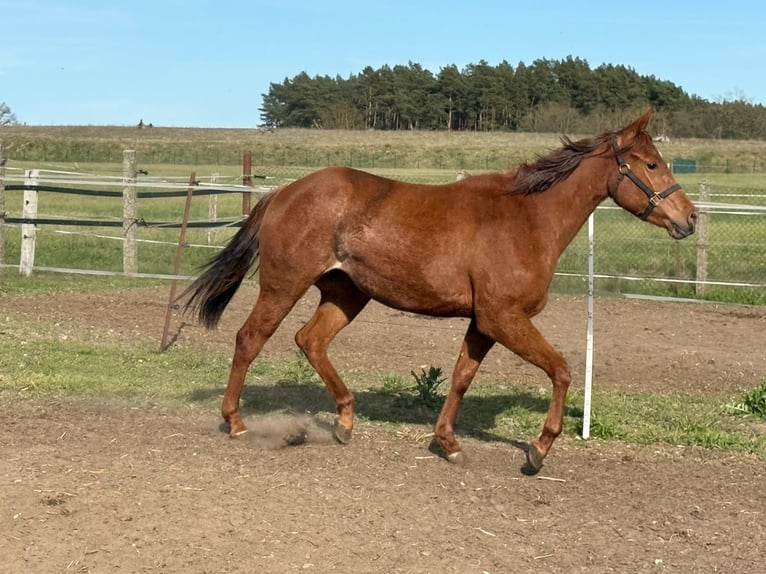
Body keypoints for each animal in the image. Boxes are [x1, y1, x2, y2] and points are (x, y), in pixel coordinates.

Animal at [183, 109, 697, 473]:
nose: (689, 218)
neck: (526, 219)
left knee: (310, 341)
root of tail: (282, 193)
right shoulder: (503, 317)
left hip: (347, 293)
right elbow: (562, 370)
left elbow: (461, 377)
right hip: (283, 285)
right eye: (651, 163)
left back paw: (345, 421)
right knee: (250, 339)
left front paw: (448, 444)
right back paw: (236, 423)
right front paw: (538, 449)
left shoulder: (483, 322)